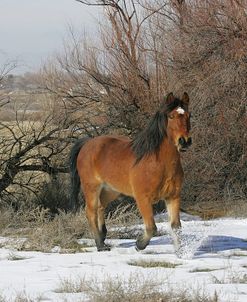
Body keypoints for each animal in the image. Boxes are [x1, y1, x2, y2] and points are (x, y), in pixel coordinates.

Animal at [70, 92, 192, 252]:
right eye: (171, 116)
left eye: (189, 115)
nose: (184, 141)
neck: (158, 163)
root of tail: (87, 144)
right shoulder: (143, 198)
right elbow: (152, 228)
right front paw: (139, 244)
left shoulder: (173, 197)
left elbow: (176, 227)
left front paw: (181, 253)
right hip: (91, 188)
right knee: (91, 212)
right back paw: (100, 245)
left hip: (110, 191)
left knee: (101, 207)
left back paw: (103, 238)